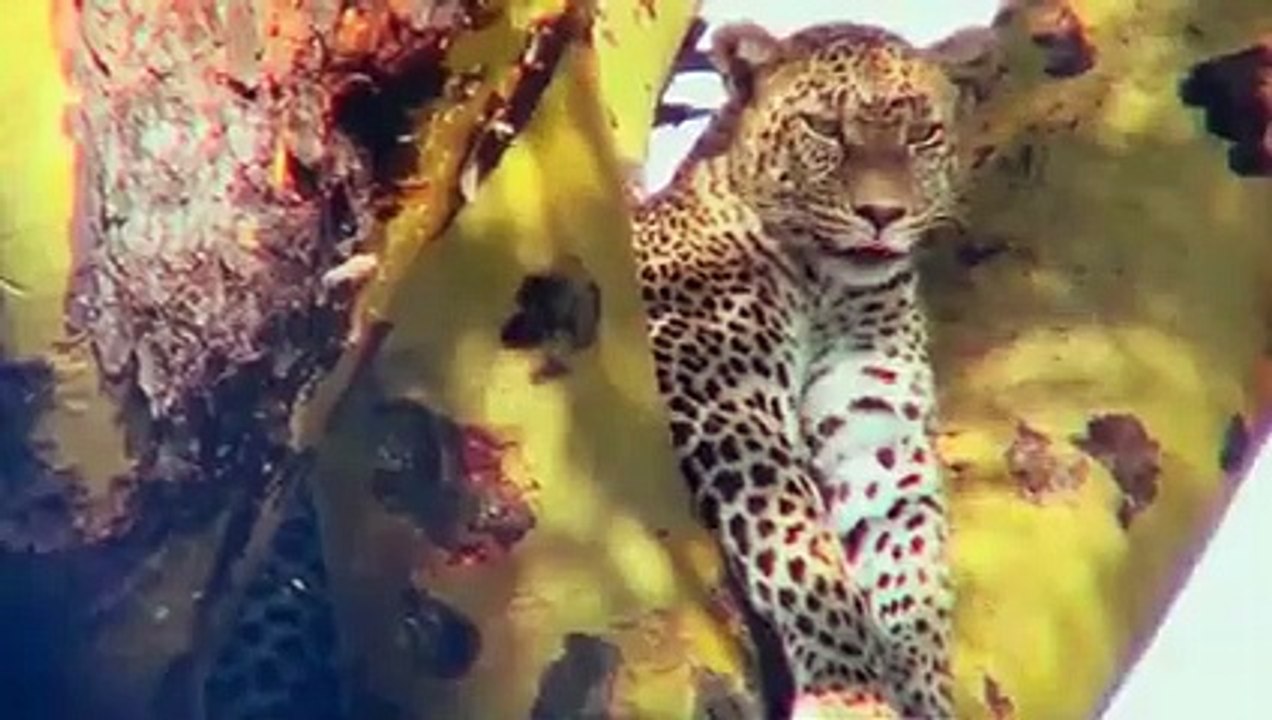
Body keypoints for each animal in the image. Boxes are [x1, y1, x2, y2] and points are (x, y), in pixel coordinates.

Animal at [633, 21, 973, 719]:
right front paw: (850, 694)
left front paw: (923, 697)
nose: (882, 214)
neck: (828, 289)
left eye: (922, 134)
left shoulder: (878, 436)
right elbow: (800, 549)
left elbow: (913, 572)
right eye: (824, 128)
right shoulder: (724, 402)